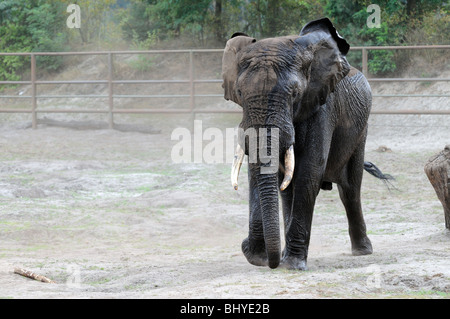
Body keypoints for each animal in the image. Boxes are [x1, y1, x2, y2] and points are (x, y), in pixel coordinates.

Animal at [223, 18, 392, 272]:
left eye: (295, 94)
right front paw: (262, 257)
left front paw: (292, 264)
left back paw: (362, 251)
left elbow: (309, 171)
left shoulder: (323, 106)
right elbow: (268, 175)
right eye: (240, 93)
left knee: (350, 190)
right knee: (288, 191)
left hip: (361, 132)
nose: (267, 261)